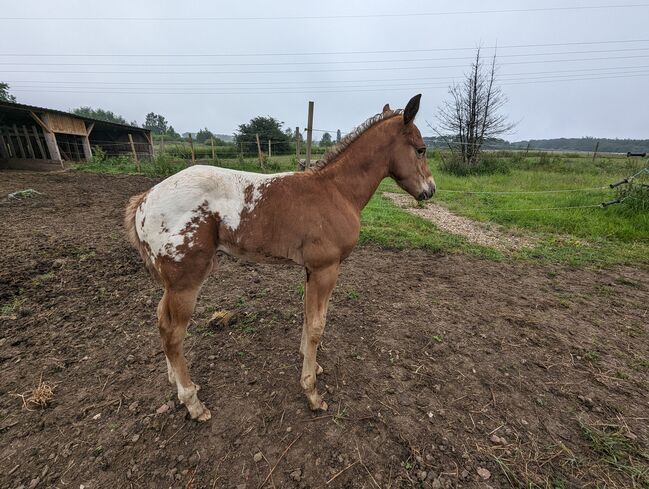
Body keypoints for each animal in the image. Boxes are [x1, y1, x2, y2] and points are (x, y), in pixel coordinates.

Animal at [125, 95, 436, 420]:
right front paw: (312, 392)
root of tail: (145, 199)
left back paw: (175, 380)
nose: (430, 190)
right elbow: (317, 325)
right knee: (173, 333)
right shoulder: (326, 269)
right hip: (186, 281)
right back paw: (193, 402)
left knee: (161, 321)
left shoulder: (312, 270)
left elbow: (307, 316)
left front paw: (313, 364)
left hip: (172, 283)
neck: (337, 190)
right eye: (421, 149)